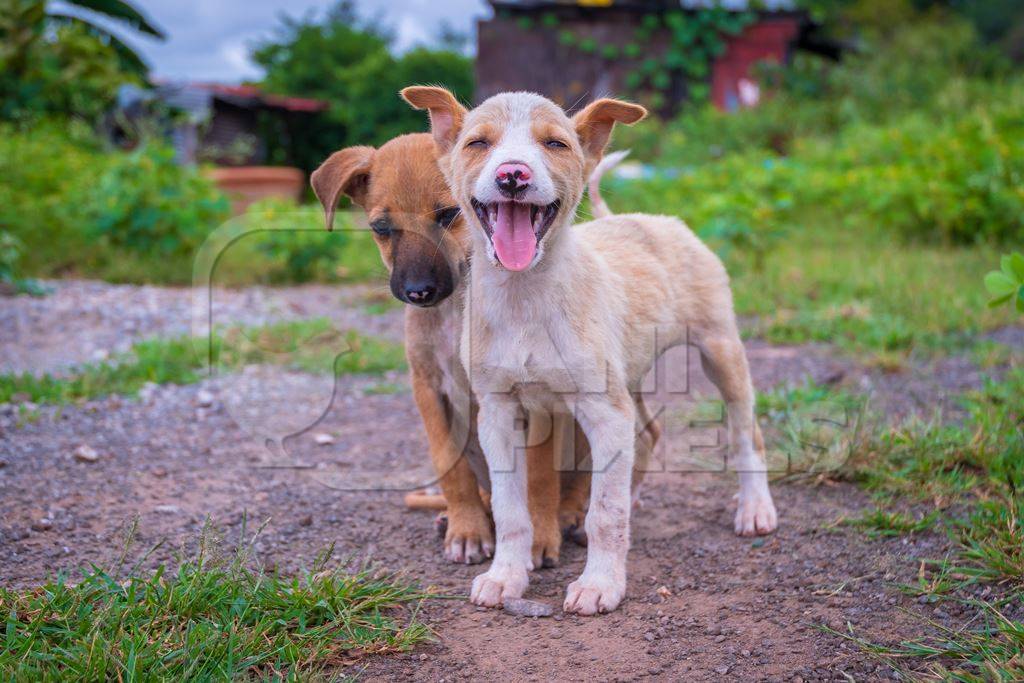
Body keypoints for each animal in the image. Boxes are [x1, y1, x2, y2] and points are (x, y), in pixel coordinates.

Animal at [309, 131, 655, 569]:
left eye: (448, 215)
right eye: (381, 227)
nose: (418, 292)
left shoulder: (538, 398)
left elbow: (540, 477)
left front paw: (540, 536)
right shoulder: (428, 387)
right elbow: (449, 465)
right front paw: (467, 530)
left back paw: (570, 516)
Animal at [403, 85, 778, 614]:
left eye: (555, 144)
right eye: (478, 143)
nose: (512, 174)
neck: (525, 297)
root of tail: (638, 218)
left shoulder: (603, 411)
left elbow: (605, 511)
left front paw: (600, 583)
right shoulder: (498, 413)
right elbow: (511, 508)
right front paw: (506, 575)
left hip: (721, 348)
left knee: (747, 432)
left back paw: (755, 508)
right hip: (630, 374)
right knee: (647, 432)